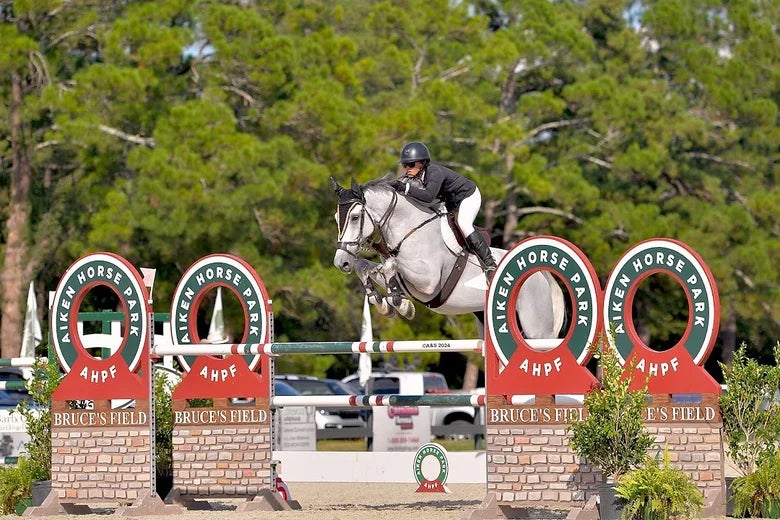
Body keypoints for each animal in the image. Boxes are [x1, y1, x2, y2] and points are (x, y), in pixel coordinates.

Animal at [330, 176, 566, 340]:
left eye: (355, 217)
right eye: (336, 218)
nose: (341, 262)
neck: (410, 230)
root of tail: (540, 274)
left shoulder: (428, 282)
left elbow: (390, 264)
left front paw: (400, 305)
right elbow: (366, 266)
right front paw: (381, 302)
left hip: (536, 329)